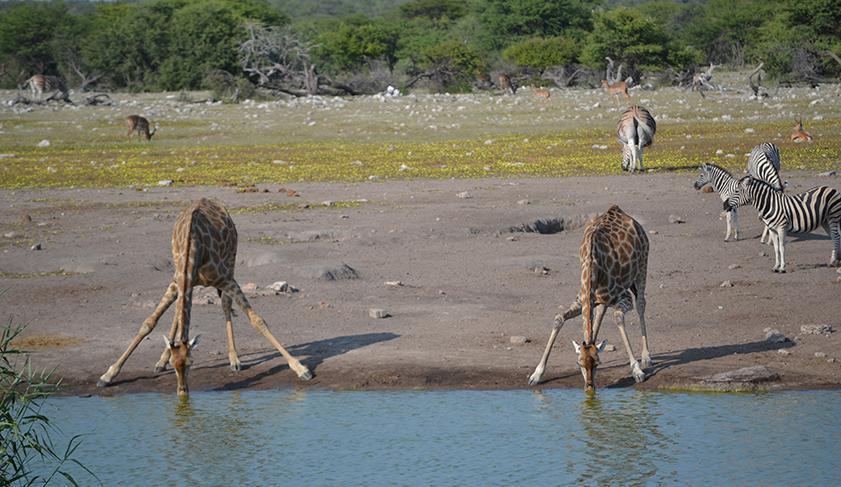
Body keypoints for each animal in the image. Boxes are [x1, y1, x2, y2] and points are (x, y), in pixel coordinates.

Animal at [98, 198, 312, 395]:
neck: (193, 249)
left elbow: (257, 320)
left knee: (225, 304)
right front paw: (108, 375)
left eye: (191, 363)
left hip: (230, 262)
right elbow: (149, 323)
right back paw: (160, 361)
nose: (182, 391)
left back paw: (234, 360)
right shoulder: (177, 282)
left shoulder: (225, 280)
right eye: (175, 365)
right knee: (178, 314)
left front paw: (300, 369)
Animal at [528, 205, 651, 392]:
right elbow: (559, 319)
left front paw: (637, 371)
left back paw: (646, 358)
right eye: (579, 364)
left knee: (641, 304)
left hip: (642, 267)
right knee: (599, 315)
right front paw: (536, 374)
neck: (592, 266)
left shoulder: (623, 297)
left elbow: (618, 317)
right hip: (600, 299)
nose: (589, 387)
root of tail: (619, 210)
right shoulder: (582, 299)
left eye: (598, 364)